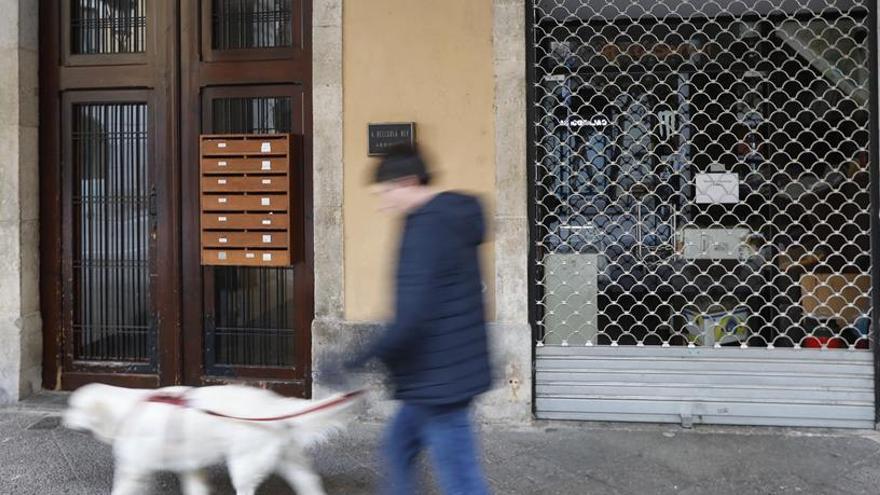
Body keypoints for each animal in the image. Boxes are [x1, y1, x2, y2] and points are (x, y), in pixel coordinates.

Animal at [63, 384, 360, 495]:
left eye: (74, 407)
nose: (63, 420)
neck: (127, 409)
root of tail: (273, 407)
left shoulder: (134, 466)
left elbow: (124, 487)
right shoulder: (188, 464)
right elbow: (196, 487)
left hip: (244, 463)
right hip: (288, 458)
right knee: (309, 481)